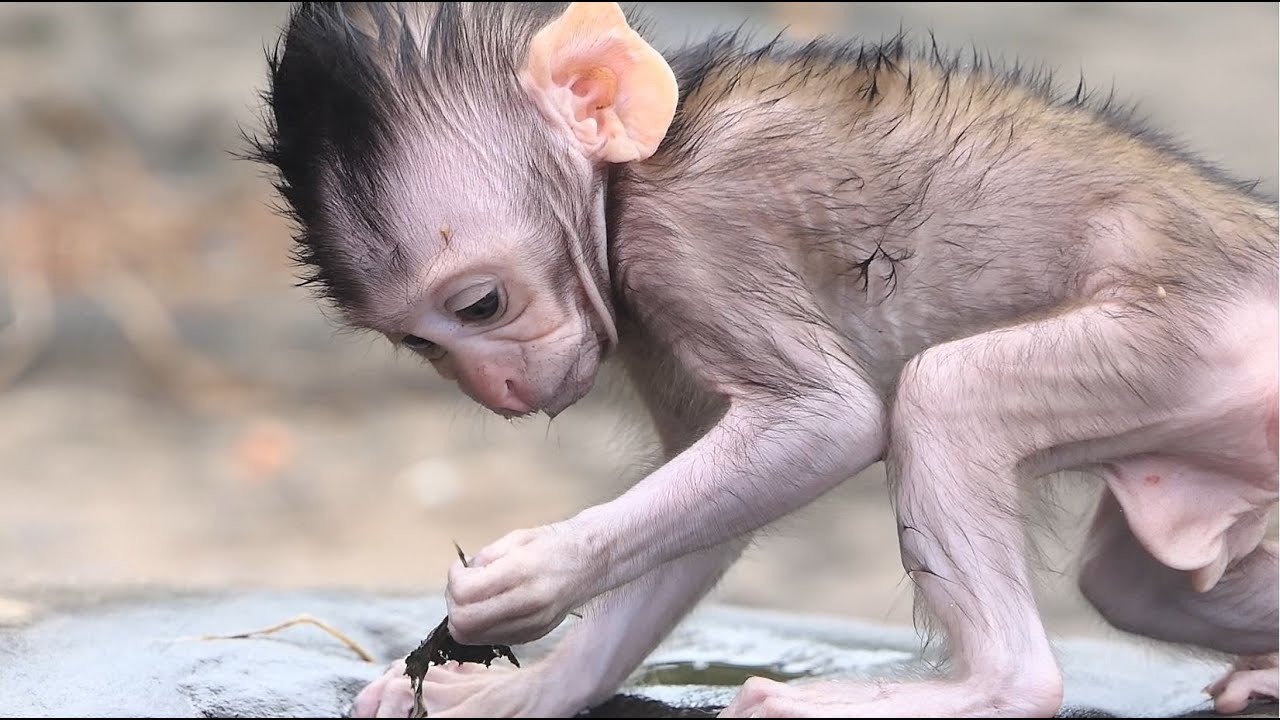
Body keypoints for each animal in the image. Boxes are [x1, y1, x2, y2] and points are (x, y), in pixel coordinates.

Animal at [248, 2, 1279, 717]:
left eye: (481, 305)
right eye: (421, 341)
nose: (497, 388)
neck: (630, 178)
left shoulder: (691, 233)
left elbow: (824, 425)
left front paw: (532, 580)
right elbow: (704, 509)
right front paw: (533, 688)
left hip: (1192, 341)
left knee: (952, 396)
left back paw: (992, 688)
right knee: (1133, 586)